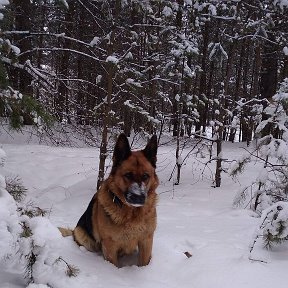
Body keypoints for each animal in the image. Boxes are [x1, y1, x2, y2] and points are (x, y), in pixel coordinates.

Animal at [59, 134, 158, 266]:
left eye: (146, 176)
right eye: (128, 175)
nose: (139, 197)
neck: (132, 214)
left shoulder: (146, 240)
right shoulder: (110, 245)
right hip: (83, 235)